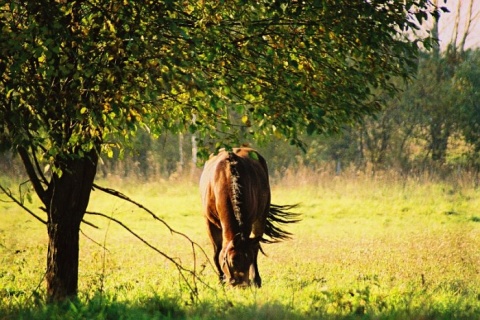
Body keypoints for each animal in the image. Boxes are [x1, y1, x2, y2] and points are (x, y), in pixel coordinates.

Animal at [200, 146, 298, 286]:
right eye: (232, 261)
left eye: (248, 260)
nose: (242, 285)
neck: (226, 180)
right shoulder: (209, 222)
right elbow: (216, 252)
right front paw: (221, 279)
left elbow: (253, 249)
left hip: (261, 218)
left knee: (256, 244)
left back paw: (256, 279)